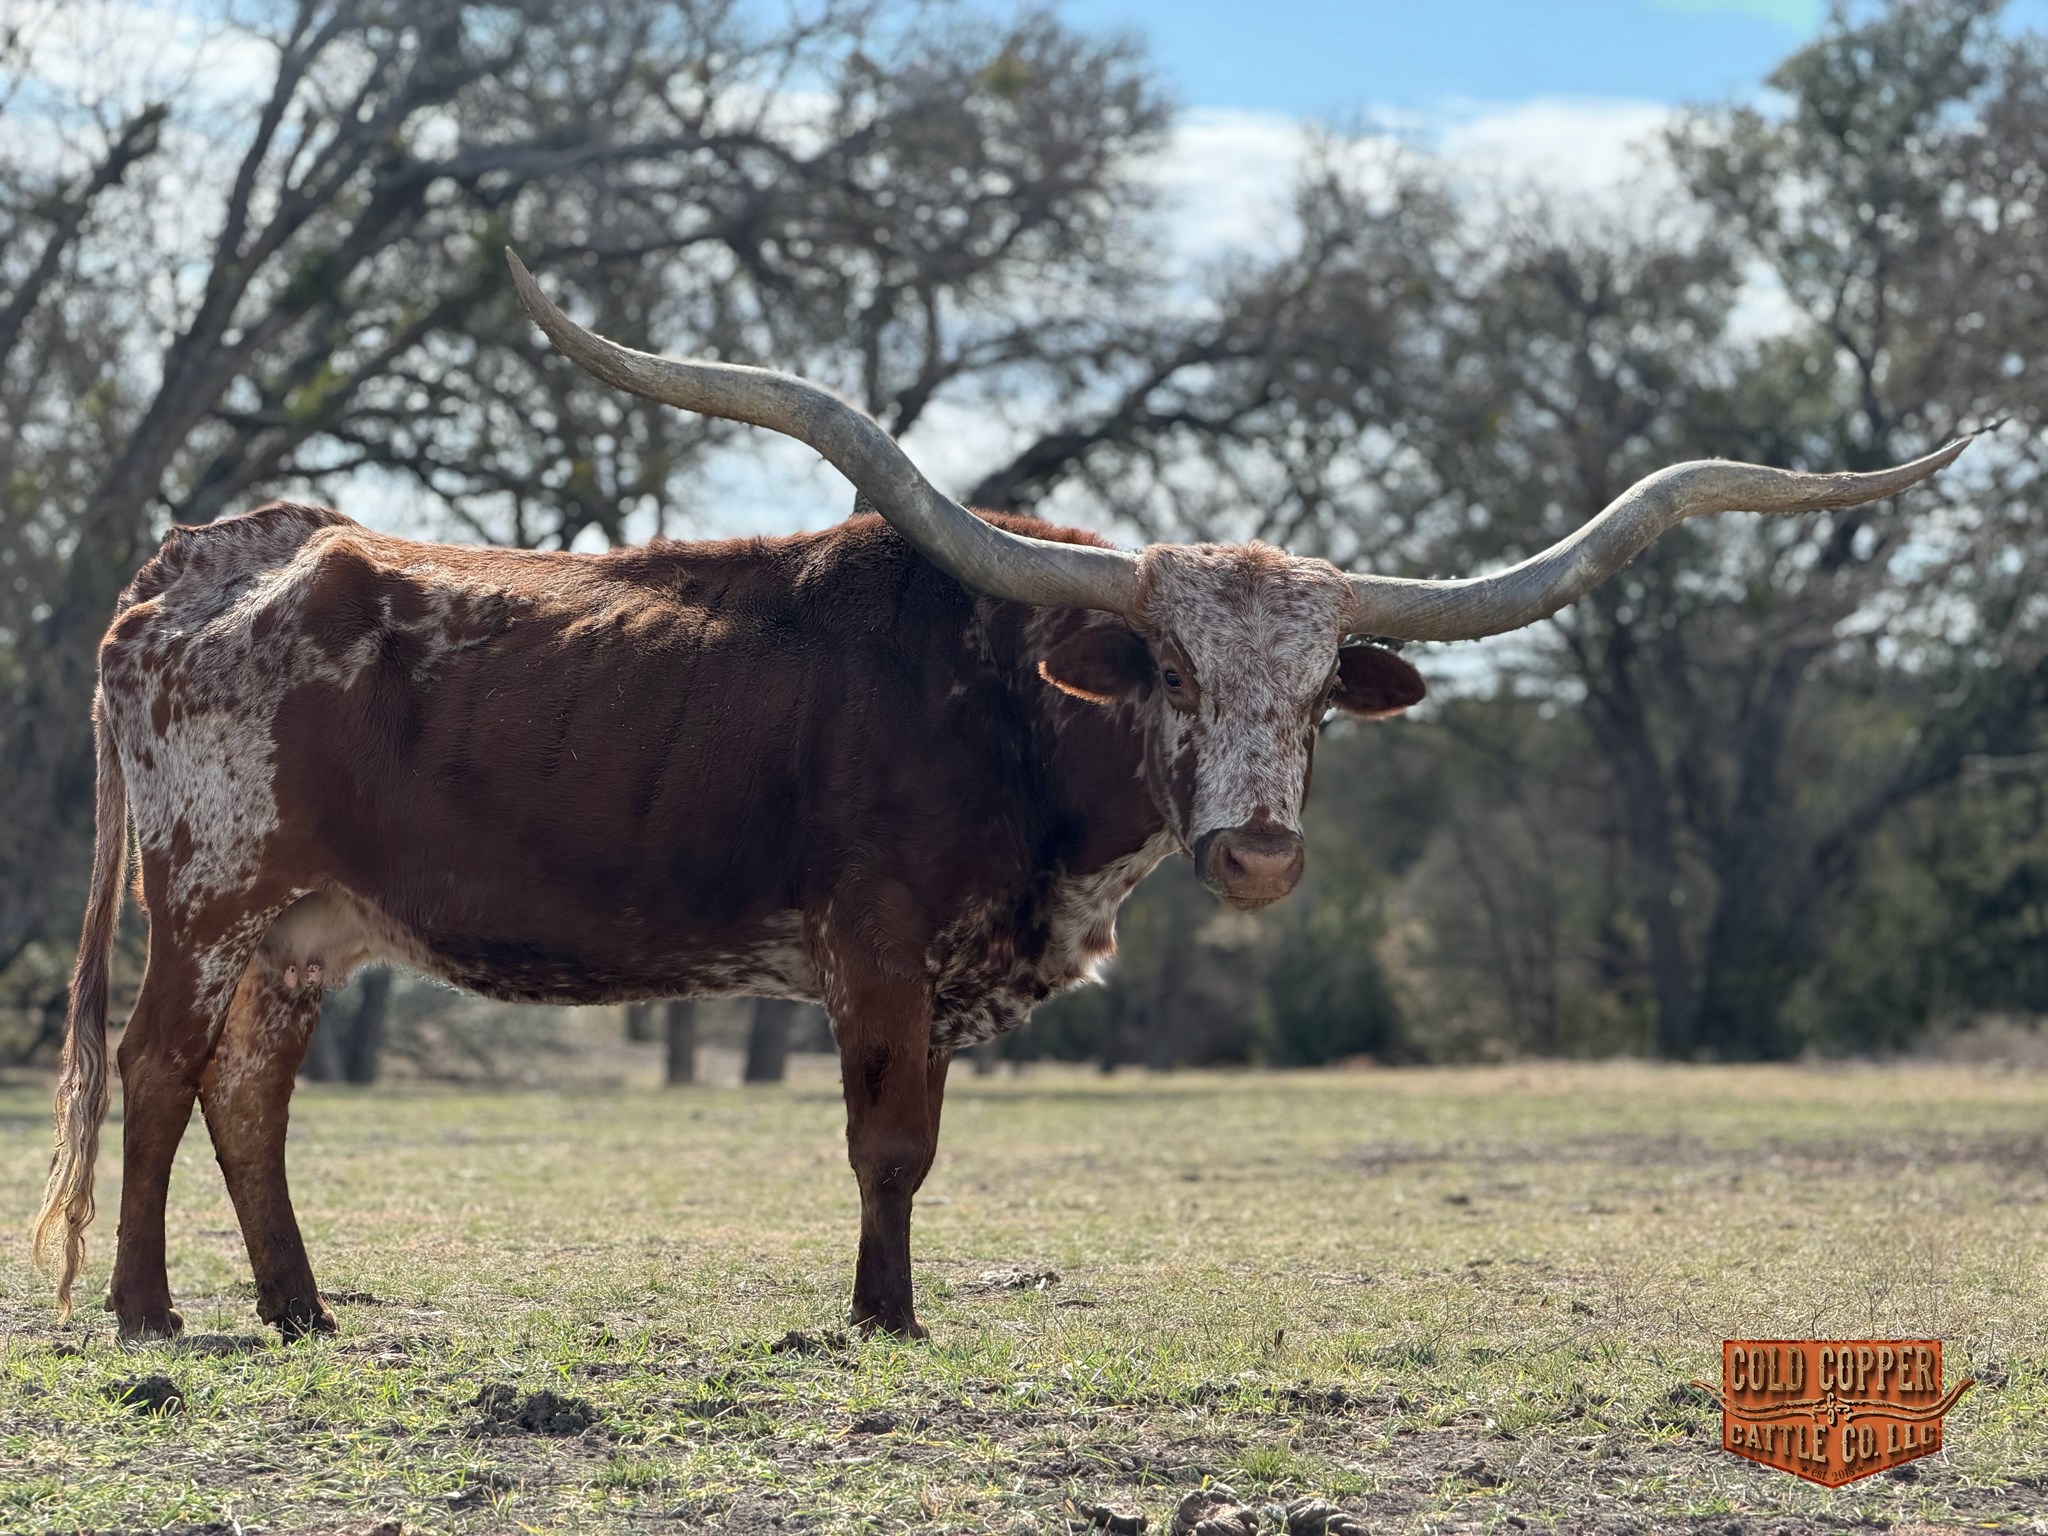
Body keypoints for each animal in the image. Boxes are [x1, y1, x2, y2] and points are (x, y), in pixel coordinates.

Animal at [32, 250, 1969, 1342]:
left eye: (1315, 701)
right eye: (1172, 670)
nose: (1257, 848)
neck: (1018, 712)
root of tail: (210, 555)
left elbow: (923, 1145)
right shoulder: (882, 950)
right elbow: (888, 1142)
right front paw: (883, 1324)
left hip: (303, 931)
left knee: (252, 1097)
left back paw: (300, 1311)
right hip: (205, 897)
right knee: (158, 1070)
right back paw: (149, 1316)